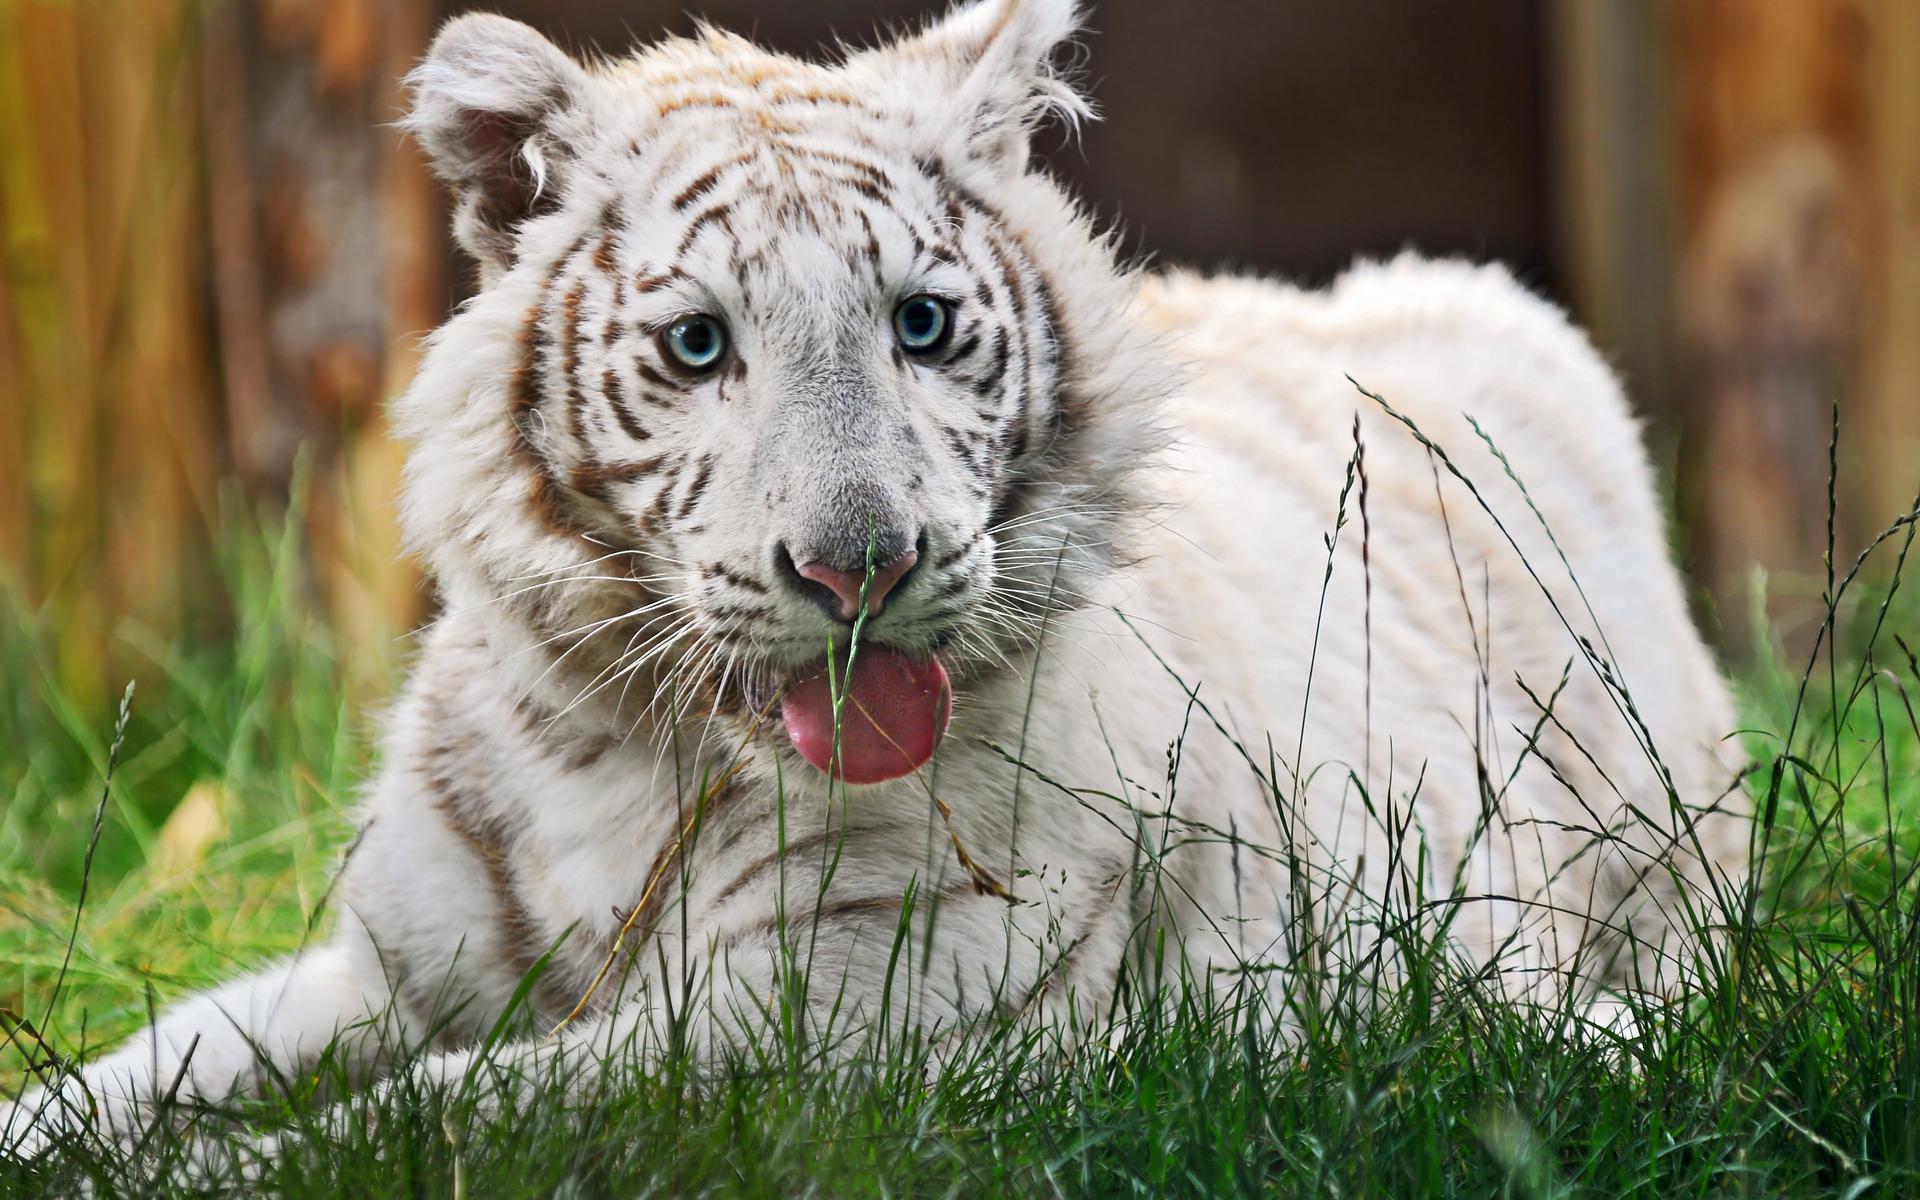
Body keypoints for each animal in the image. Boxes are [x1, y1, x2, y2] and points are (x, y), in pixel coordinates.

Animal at [4, 0, 1747, 1161]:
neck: (614, 747)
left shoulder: (812, 1025)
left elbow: (391, 1134)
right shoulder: (389, 974)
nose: (863, 569)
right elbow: (147, 1067)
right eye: (698, 345)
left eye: (920, 325)